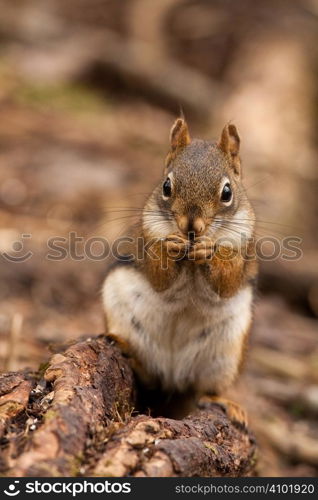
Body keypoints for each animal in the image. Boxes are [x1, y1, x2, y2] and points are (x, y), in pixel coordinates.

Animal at [103, 118, 258, 426]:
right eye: (166, 186)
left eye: (227, 192)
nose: (191, 227)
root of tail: (174, 377)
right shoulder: (147, 237)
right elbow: (159, 275)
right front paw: (171, 247)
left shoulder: (242, 249)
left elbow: (227, 280)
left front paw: (209, 251)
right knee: (149, 376)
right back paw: (129, 352)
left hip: (225, 353)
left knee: (203, 390)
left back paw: (224, 403)